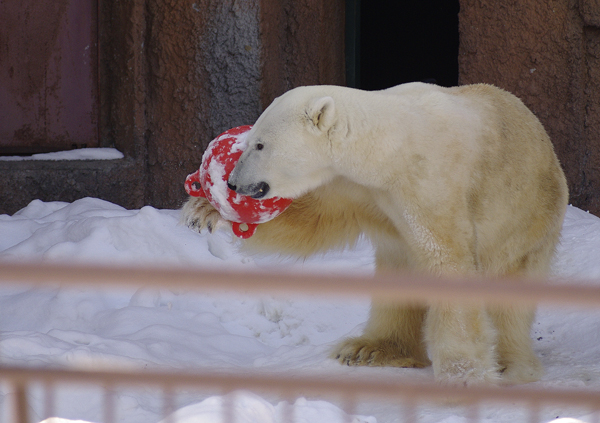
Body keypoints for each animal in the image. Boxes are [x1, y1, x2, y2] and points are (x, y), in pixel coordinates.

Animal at [182, 81, 568, 386]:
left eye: (260, 144)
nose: (234, 183)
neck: (391, 144)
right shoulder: (359, 187)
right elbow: (313, 220)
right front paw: (205, 211)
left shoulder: (431, 184)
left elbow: (449, 263)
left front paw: (464, 376)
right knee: (397, 278)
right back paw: (370, 349)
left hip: (527, 223)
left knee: (510, 295)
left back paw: (511, 365)